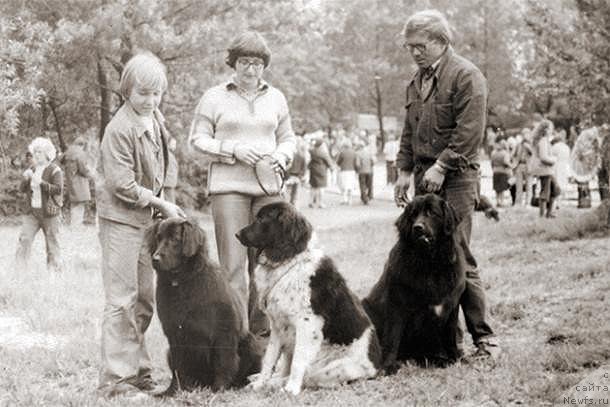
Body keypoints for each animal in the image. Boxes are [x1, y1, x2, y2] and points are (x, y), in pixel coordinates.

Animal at [148, 218, 262, 396]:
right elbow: (178, 368)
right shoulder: (174, 334)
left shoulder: (224, 333)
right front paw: (172, 391)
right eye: (158, 238)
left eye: (175, 239)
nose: (155, 259)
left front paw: (219, 388)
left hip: (251, 343)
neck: (183, 282)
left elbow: (223, 362)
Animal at [235, 203, 378, 396]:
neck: (289, 261)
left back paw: (277, 383)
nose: (237, 234)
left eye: (261, 219)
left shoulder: (307, 323)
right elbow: (270, 358)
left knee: (308, 376)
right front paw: (260, 383)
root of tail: (376, 367)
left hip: (334, 368)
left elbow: (298, 362)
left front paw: (290, 390)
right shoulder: (277, 325)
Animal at [360, 194, 466, 372]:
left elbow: (450, 335)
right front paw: (388, 366)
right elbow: (393, 336)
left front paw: (455, 358)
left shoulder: (452, 305)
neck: (430, 264)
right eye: (413, 215)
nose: (418, 227)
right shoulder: (397, 305)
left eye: (432, 213)